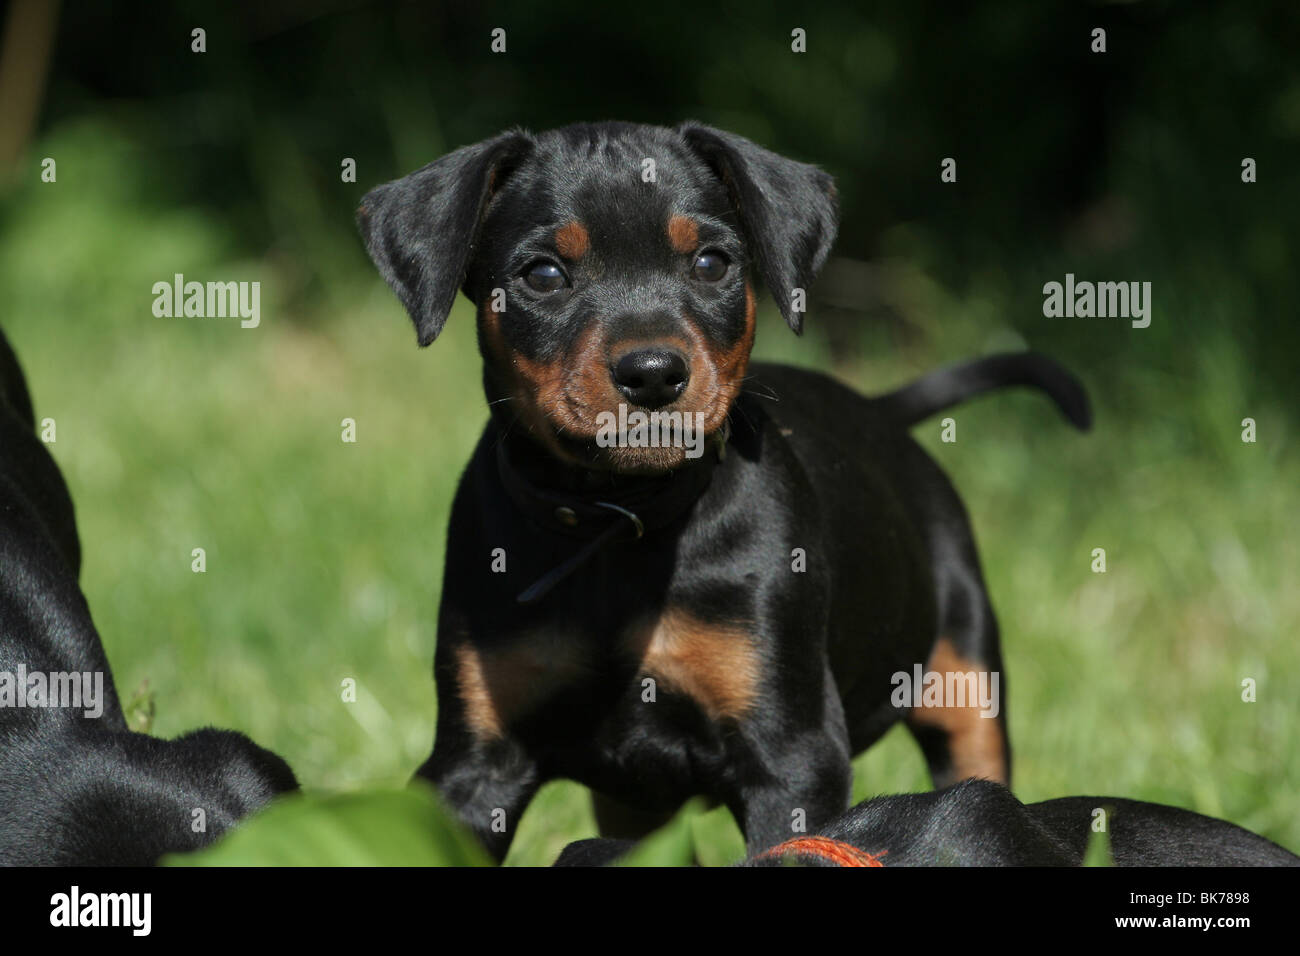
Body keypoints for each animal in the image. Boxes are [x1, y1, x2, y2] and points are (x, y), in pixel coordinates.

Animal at [353, 119, 1086, 858]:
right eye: (543, 275)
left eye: (711, 264)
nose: (652, 373)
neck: (619, 520)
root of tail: (875, 410)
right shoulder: (475, 764)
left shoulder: (790, 753)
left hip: (964, 676)